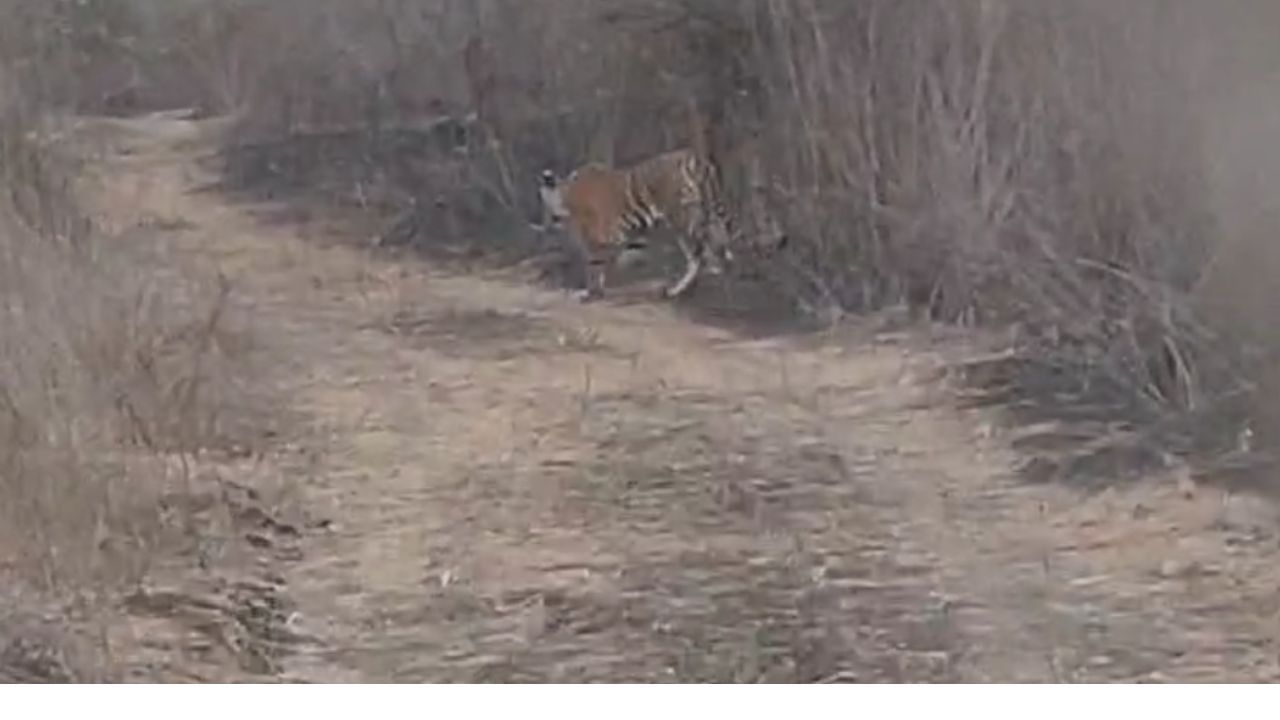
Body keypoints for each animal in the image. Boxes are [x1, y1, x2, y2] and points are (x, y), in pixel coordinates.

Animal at [538, 148, 744, 302]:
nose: (548, 224)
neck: (567, 197)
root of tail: (695, 157)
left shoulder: (597, 239)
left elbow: (593, 267)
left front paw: (589, 293)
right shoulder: (618, 239)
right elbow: (605, 265)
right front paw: (598, 291)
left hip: (684, 219)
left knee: (704, 251)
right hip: (699, 217)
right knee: (709, 250)